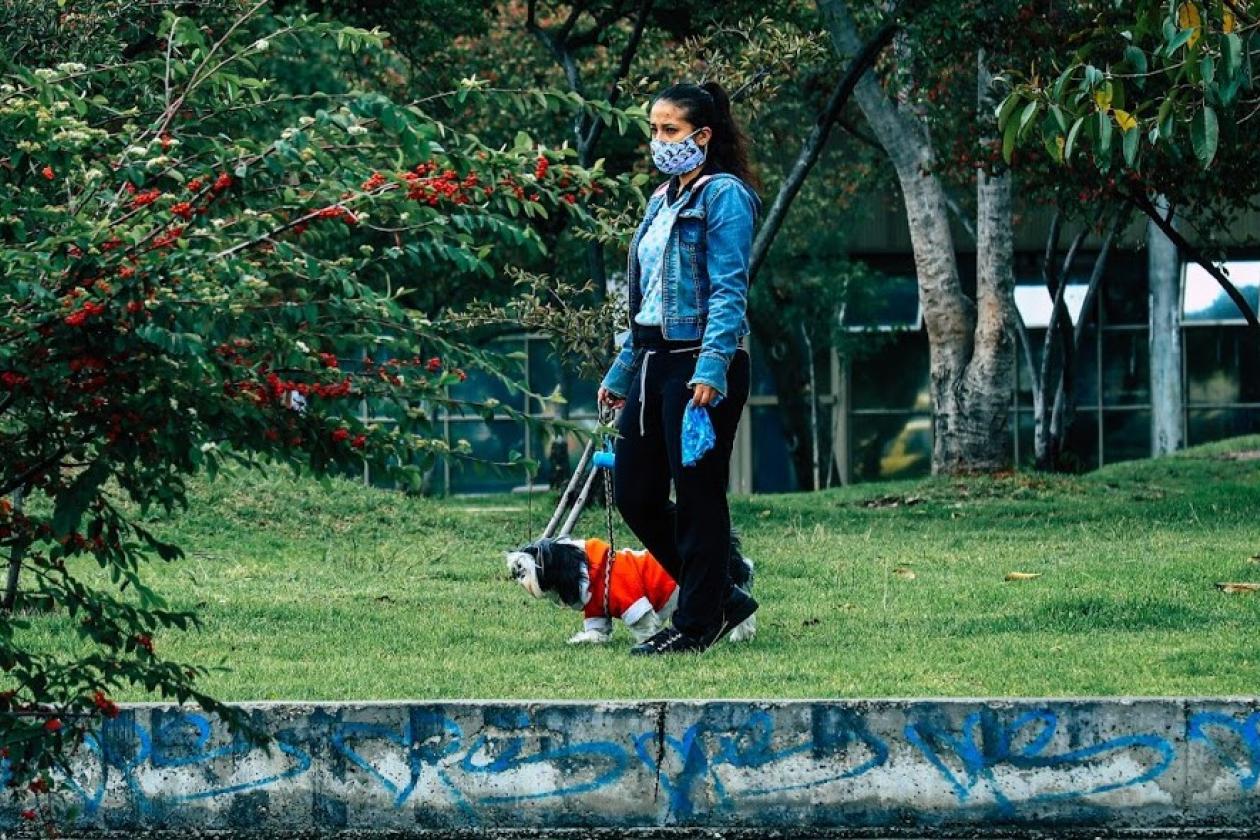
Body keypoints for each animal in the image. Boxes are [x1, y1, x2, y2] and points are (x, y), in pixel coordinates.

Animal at [504, 536, 756, 649]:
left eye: (538, 558)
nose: (517, 568)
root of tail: (731, 553)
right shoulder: (597, 610)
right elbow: (597, 631)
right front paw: (582, 639)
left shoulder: (633, 601)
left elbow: (643, 624)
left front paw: (647, 641)